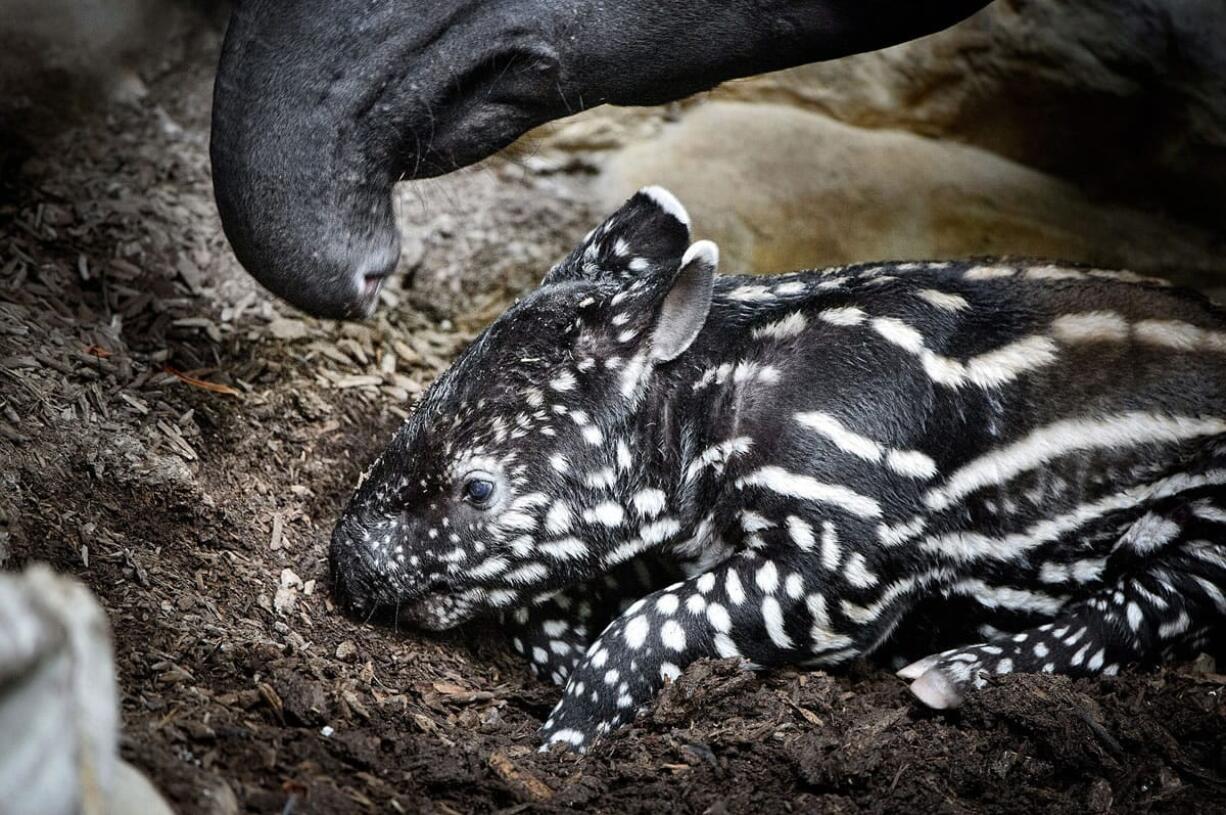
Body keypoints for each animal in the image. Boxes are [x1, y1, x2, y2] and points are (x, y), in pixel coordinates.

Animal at [328, 183, 1226, 750]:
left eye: (479, 488)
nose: (345, 566)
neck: (719, 387)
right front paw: (558, 645)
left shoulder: (844, 554)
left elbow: (654, 618)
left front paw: (565, 733)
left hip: (1206, 520)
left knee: (1156, 604)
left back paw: (950, 673)